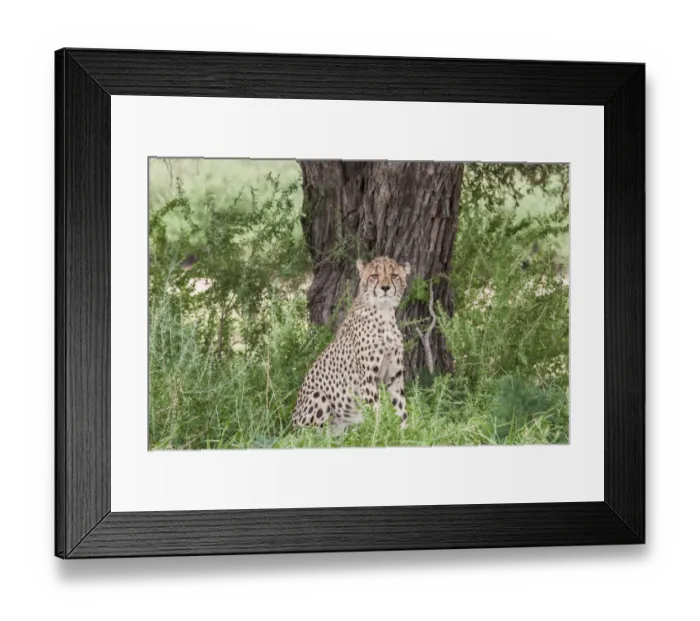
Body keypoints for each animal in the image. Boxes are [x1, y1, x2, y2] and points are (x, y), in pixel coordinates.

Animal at [291, 256, 411, 434]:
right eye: (374, 276)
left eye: (394, 275)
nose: (385, 288)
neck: (384, 313)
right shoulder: (367, 379)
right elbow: (375, 410)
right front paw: (379, 433)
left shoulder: (394, 376)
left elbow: (400, 407)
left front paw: (405, 431)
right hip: (317, 397)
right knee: (311, 436)